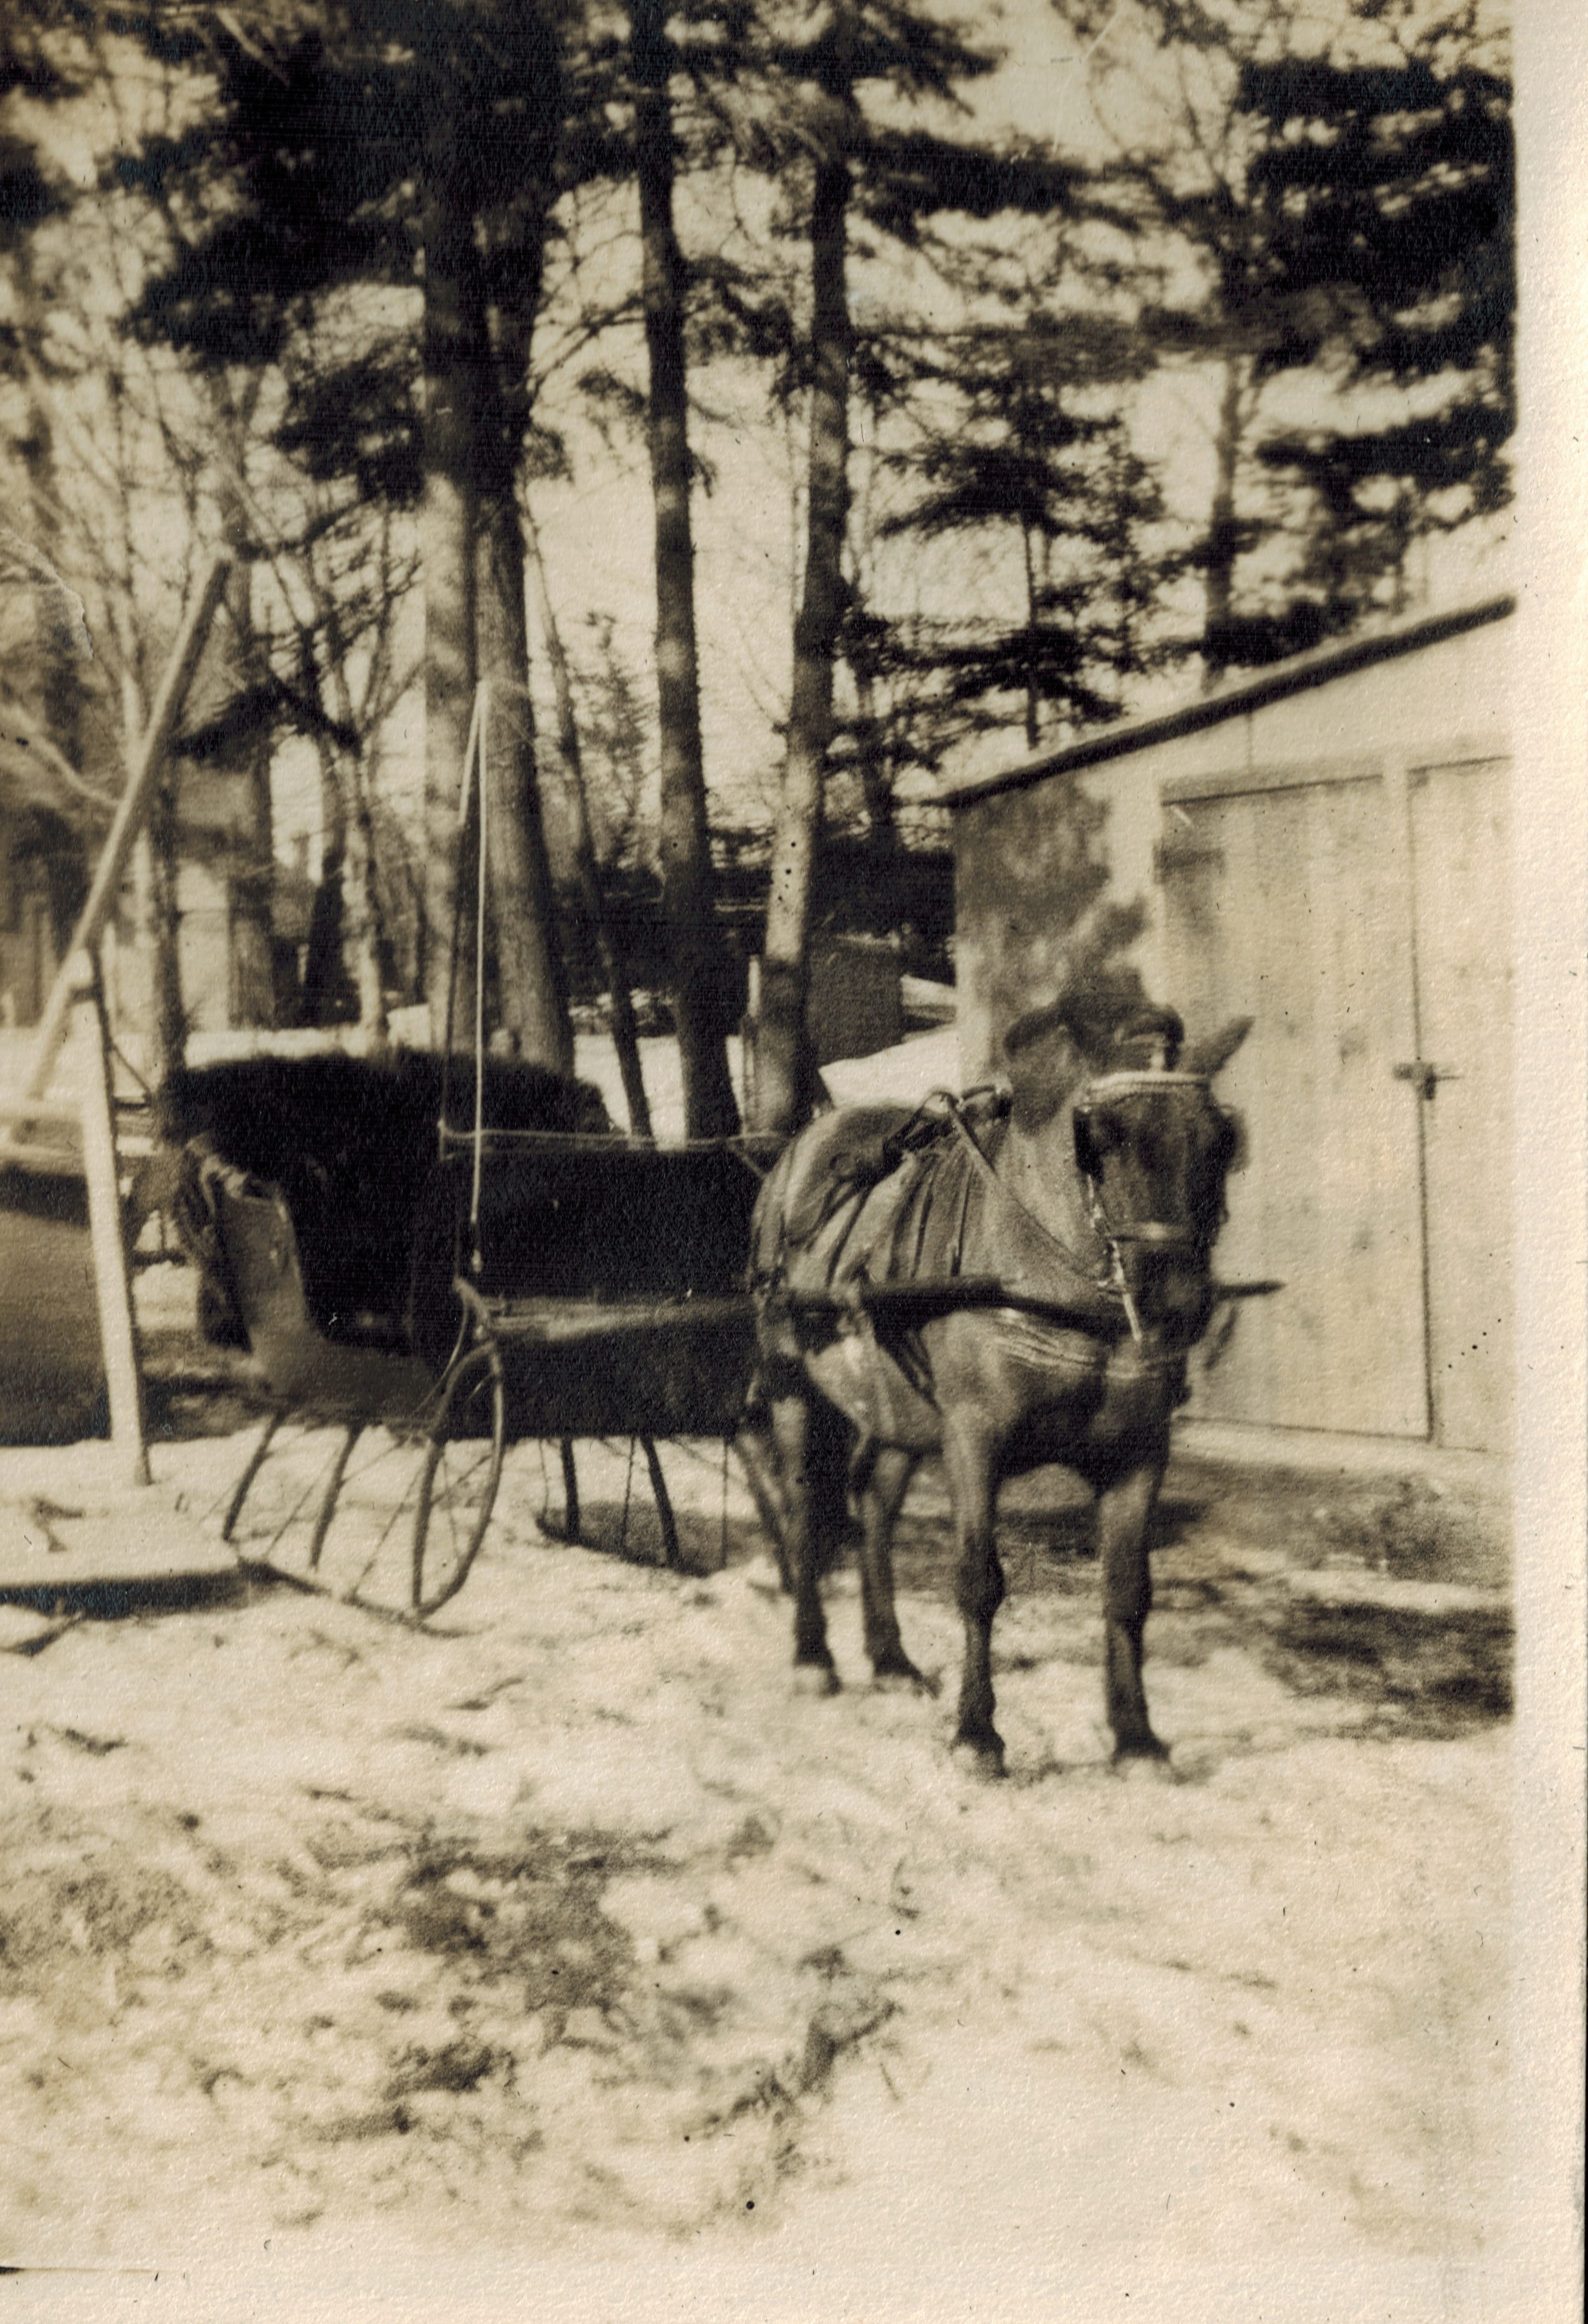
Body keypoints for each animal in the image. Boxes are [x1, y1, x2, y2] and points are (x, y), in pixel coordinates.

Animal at [744, 990, 1255, 1766]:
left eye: (1221, 1139)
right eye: (1096, 1137)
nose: (1176, 1302)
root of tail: (804, 1142)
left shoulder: (1139, 1450)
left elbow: (1127, 1590)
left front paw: (1135, 1737)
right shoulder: (973, 1440)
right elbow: (979, 1582)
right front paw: (977, 1733)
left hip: (898, 1409)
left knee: (873, 1503)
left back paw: (889, 1658)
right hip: (792, 1386)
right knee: (805, 1507)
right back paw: (814, 1657)